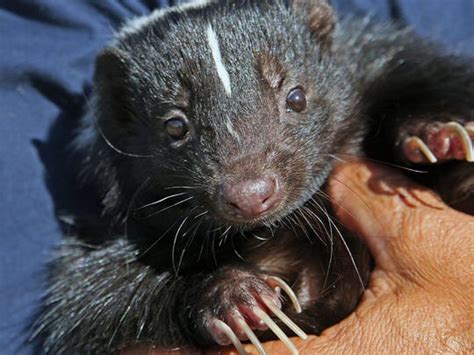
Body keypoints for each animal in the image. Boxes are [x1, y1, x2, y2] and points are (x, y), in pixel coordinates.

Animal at [35, 0, 474, 354]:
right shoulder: (106, 235)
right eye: (175, 125)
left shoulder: (377, 58)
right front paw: (237, 299)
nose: (250, 193)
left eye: (296, 97)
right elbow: (102, 300)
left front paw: (438, 136)